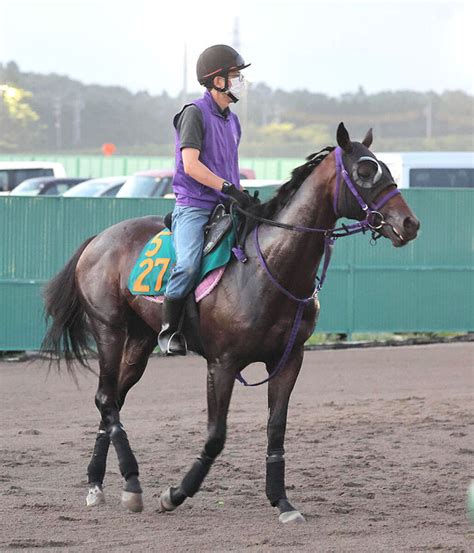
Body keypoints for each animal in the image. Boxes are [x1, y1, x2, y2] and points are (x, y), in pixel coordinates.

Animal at [40, 123, 418, 524]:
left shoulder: (289, 359)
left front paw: (282, 502)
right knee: (105, 398)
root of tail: (98, 239)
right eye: (364, 171)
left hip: (140, 341)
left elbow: (276, 430)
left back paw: (97, 483)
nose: (409, 223)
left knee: (112, 399)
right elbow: (215, 436)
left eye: (383, 167)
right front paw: (175, 494)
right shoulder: (221, 364)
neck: (268, 268)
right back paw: (132, 483)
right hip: (109, 330)